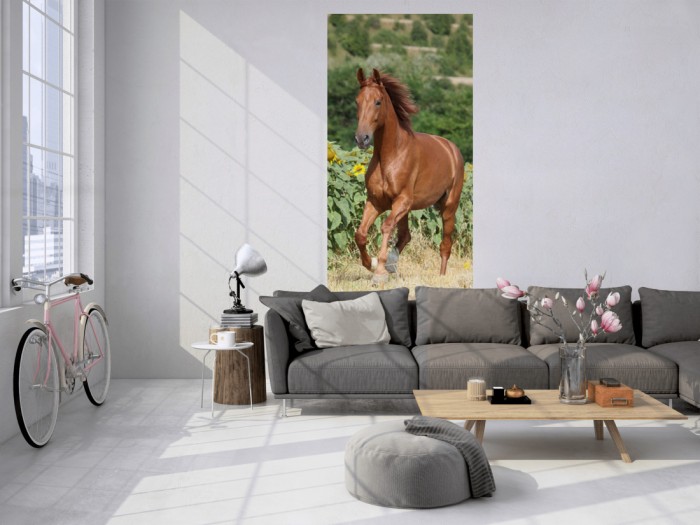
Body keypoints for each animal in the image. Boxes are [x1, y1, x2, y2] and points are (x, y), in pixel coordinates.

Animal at [353, 68, 465, 283]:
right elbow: (361, 234)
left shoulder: (402, 200)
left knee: (445, 244)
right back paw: (392, 263)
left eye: (378, 101)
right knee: (405, 235)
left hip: (448, 207)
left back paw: (441, 276)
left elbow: (386, 227)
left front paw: (380, 272)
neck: (390, 156)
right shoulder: (376, 201)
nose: (362, 138)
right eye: (357, 101)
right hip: (406, 209)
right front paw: (371, 264)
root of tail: (452, 148)